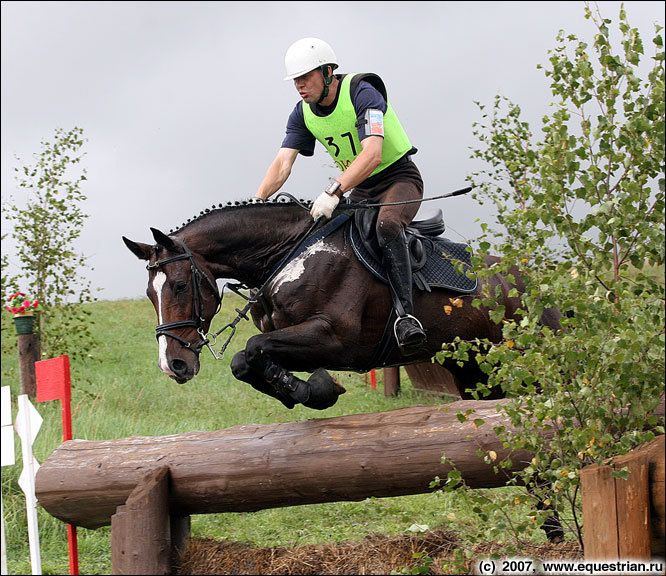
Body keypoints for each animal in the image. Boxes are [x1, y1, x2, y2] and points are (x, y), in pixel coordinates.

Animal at [123, 198, 560, 410]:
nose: (173, 364)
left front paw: (315, 390)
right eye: (150, 294)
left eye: (180, 285)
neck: (288, 253)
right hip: (473, 370)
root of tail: (541, 281)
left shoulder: (336, 340)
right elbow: (247, 360)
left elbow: (252, 348)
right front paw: (305, 389)